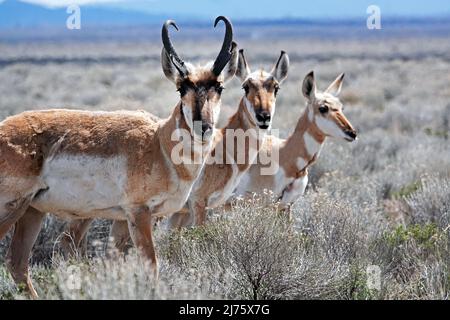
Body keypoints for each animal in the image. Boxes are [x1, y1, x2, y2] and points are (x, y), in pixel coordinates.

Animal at [0, 16, 239, 298]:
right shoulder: (139, 213)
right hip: (13, 209)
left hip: (32, 212)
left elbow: (112, 262)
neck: (159, 143)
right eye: (182, 88)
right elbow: (151, 266)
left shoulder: (123, 220)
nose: (204, 127)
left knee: (18, 264)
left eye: (219, 87)